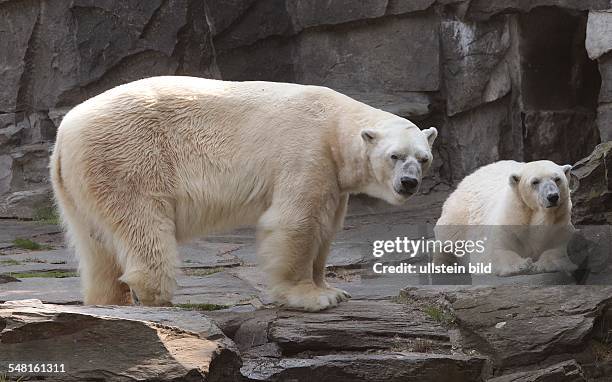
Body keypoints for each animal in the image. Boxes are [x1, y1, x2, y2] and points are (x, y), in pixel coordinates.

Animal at [50, 76, 438, 312]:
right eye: (394, 156)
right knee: (144, 225)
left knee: (95, 245)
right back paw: (155, 295)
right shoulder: (306, 152)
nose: (409, 182)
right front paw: (314, 297)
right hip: (128, 157)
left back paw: (107, 300)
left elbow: (326, 226)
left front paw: (330, 288)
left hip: (80, 183)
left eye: (423, 158)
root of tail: (65, 131)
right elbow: (297, 221)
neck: (335, 125)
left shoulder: (332, 175)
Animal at [436, 160, 572, 276]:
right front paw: (523, 264)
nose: (552, 196)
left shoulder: (560, 222)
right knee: (448, 239)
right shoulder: (512, 219)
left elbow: (559, 248)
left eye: (557, 179)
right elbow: (498, 250)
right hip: (458, 214)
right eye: (535, 181)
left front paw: (541, 265)